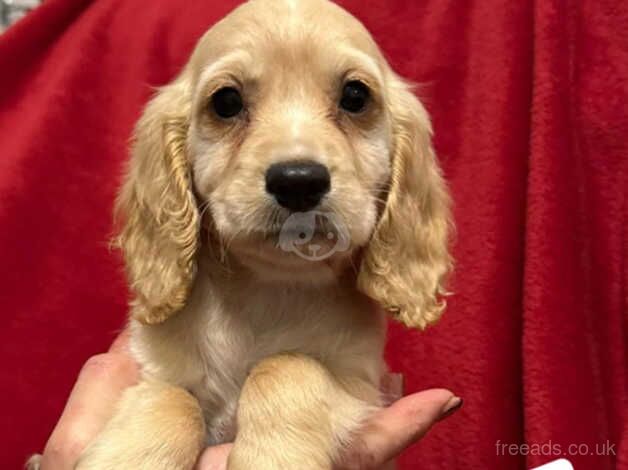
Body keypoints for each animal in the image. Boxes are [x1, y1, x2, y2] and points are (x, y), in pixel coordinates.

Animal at [70, 0, 452, 468]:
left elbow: (286, 365)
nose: (298, 182)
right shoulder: (151, 367)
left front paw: (272, 455)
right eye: (226, 102)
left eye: (356, 97)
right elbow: (173, 397)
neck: (267, 289)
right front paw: (130, 454)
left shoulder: (357, 383)